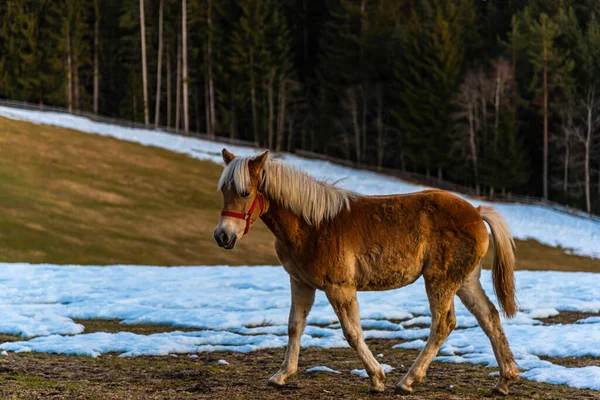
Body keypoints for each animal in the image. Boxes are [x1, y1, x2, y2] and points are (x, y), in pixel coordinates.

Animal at [213, 148, 516, 396]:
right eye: (224, 191)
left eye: (245, 192)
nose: (223, 236)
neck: (311, 225)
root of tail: (476, 212)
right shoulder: (300, 283)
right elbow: (294, 326)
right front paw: (282, 375)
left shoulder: (340, 287)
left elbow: (352, 332)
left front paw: (376, 377)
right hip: (465, 281)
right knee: (489, 317)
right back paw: (504, 380)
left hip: (440, 281)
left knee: (443, 324)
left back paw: (407, 381)